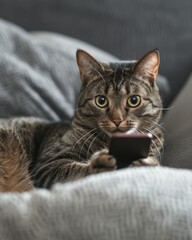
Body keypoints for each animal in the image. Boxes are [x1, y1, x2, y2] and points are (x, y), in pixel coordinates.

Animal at [0, 48, 164, 191]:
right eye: (101, 100)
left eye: (134, 100)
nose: (117, 119)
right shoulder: (46, 165)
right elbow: (74, 171)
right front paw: (99, 166)